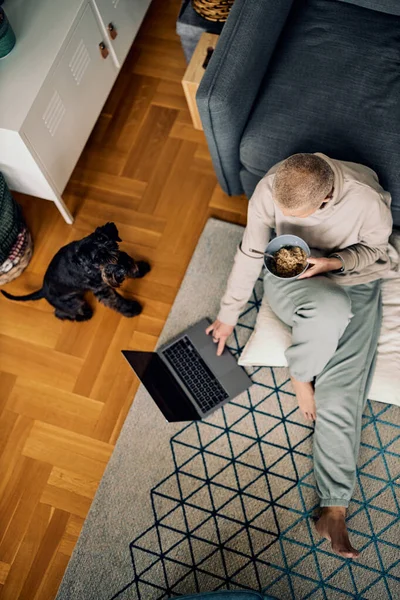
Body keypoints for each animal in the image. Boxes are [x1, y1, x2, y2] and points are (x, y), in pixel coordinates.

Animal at [1, 223, 150, 322]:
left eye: (113, 246)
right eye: (98, 262)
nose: (121, 271)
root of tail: (43, 290)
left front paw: (140, 268)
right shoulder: (101, 289)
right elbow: (116, 300)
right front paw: (131, 309)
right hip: (72, 302)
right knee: (61, 313)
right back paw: (83, 316)